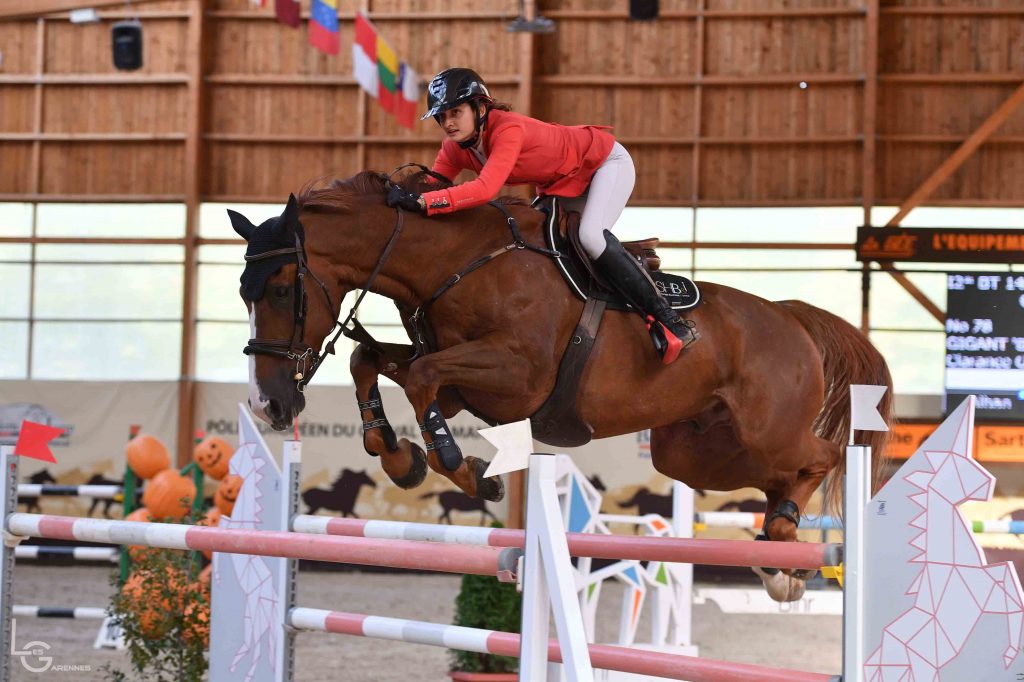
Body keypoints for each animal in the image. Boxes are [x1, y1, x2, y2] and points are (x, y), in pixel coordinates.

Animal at [235, 171, 892, 602]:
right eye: (245, 293)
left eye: (281, 290)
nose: (271, 404)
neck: (455, 261)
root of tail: (793, 317)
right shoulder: (465, 384)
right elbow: (370, 360)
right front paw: (401, 458)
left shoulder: (515, 375)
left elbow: (416, 379)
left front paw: (460, 465)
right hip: (694, 451)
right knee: (775, 476)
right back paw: (780, 551)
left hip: (766, 428)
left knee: (824, 456)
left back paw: (786, 540)